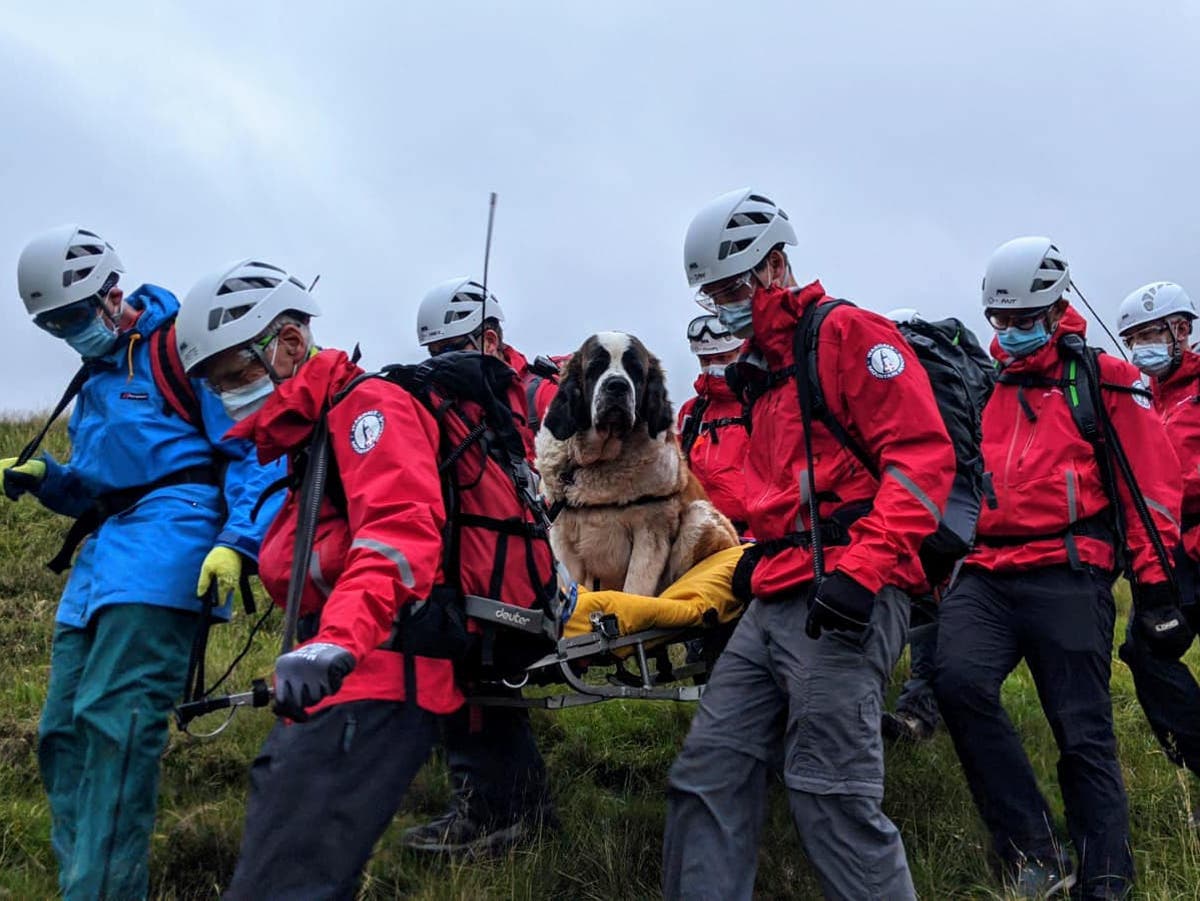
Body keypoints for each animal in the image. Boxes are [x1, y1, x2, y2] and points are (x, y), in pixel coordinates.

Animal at [537, 331, 739, 599]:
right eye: (595, 367)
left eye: (635, 371)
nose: (617, 385)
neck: (600, 462)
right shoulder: (562, 538)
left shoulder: (650, 532)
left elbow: (635, 590)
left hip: (700, 517)